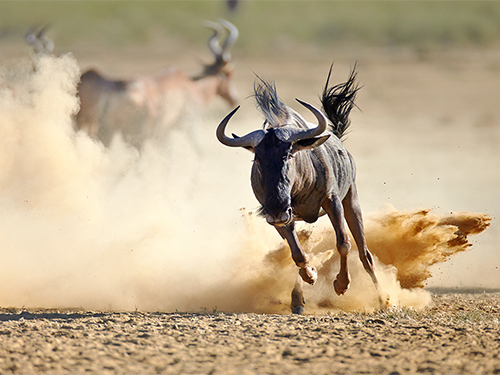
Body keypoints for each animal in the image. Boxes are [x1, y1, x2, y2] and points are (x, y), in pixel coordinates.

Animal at [75, 19, 239, 148]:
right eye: (228, 74)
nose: (234, 99)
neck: (187, 82)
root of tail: (115, 89)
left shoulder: (164, 133)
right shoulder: (188, 125)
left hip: (107, 132)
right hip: (136, 135)